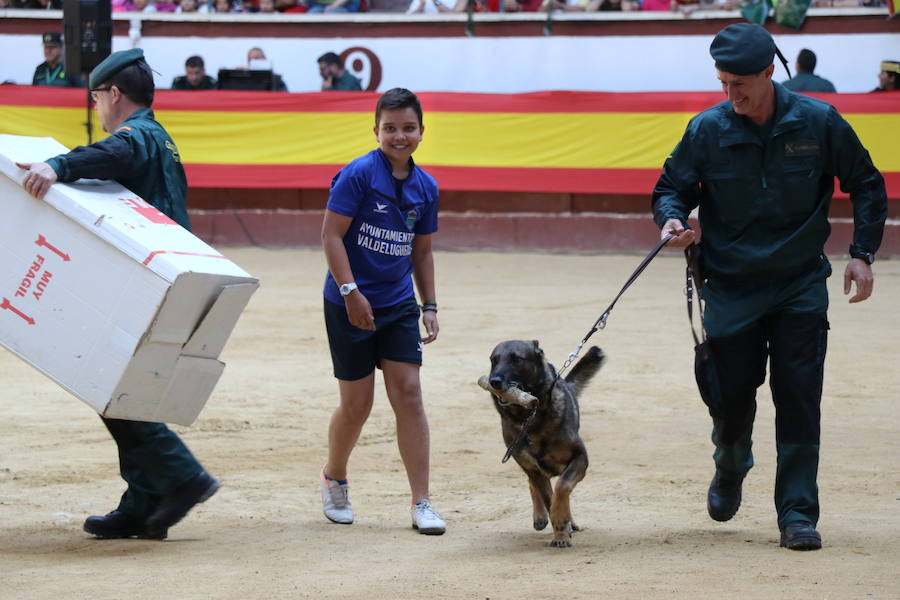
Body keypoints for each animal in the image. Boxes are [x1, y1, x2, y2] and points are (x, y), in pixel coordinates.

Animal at [486, 340, 604, 548]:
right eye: (493, 360)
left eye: (517, 359)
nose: (494, 381)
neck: (531, 416)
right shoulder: (533, 468)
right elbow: (549, 498)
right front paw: (561, 533)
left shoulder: (580, 458)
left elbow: (562, 488)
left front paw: (562, 525)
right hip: (527, 464)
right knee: (534, 484)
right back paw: (542, 517)